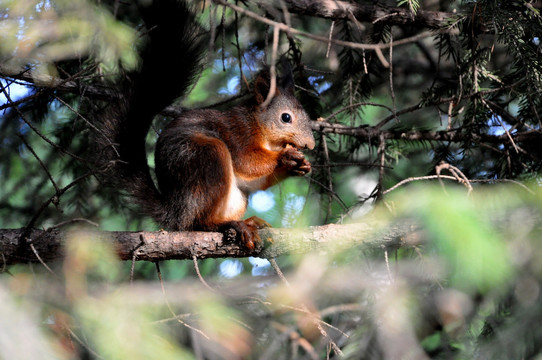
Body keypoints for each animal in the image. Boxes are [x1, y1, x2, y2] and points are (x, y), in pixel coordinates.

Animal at [98, 0, 316, 250]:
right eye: (286, 118)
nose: (310, 145)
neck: (262, 130)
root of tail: (175, 212)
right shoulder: (238, 132)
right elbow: (247, 161)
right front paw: (285, 157)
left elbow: (255, 181)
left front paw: (301, 166)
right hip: (205, 157)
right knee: (197, 223)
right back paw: (229, 225)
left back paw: (247, 221)